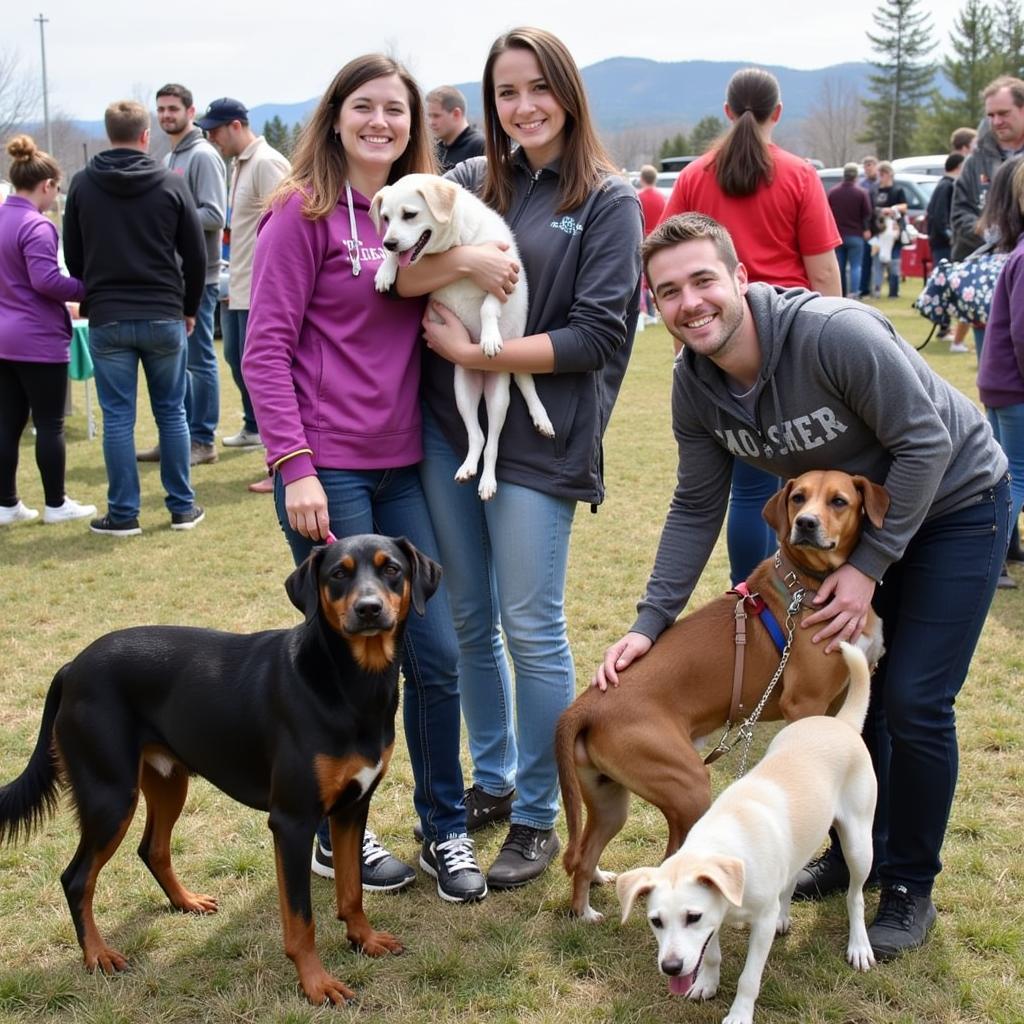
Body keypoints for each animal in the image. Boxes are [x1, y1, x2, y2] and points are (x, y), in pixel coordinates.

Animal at [0, 536, 436, 1007]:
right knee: (77, 878)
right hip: (109, 796)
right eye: (339, 574)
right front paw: (316, 984)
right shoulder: (293, 821)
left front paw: (364, 940)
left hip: (167, 782)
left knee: (152, 849)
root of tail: (70, 668)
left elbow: (352, 890)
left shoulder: (352, 809)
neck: (348, 683)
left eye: (391, 569)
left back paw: (186, 902)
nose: (369, 609)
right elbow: (301, 919)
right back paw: (97, 955)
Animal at [372, 173, 557, 499]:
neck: (457, 246)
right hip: (463, 391)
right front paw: (386, 269)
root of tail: (483, 376)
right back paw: (469, 467)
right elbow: (402, 264)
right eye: (385, 218)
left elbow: (487, 307)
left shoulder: (502, 277)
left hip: (500, 397)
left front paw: (489, 337)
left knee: (497, 436)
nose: (388, 242)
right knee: (478, 437)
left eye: (410, 215)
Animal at [610, 638, 876, 1024]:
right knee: (791, 880)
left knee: (855, 896)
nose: (671, 967)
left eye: (692, 917)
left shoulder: (756, 923)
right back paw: (785, 916)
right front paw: (705, 983)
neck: (722, 844)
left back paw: (859, 945)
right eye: (656, 921)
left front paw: (739, 1014)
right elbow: (712, 953)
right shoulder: (716, 917)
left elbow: (749, 978)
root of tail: (840, 724)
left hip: (858, 843)